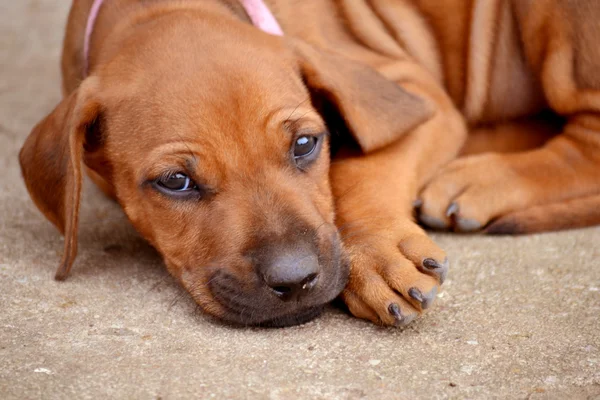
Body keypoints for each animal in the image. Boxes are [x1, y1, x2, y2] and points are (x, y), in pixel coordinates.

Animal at [18, 0, 600, 326]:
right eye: (176, 181)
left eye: (304, 144)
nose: (295, 280)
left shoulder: (412, 92)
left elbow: (364, 171)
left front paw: (376, 256)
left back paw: (478, 177)